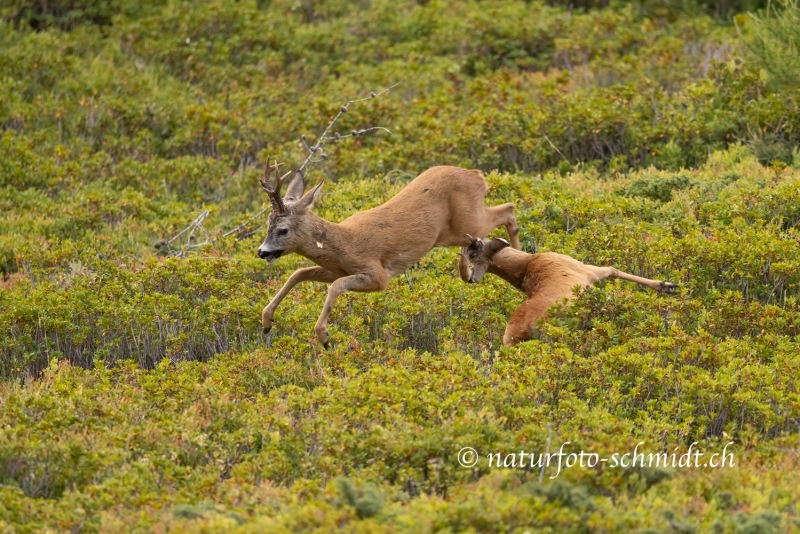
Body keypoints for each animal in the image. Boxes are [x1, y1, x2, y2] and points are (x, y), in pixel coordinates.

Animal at [253, 161, 520, 350]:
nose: (262, 252)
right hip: (453, 232)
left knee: (508, 210)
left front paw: (324, 337)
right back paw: (472, 273)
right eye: (267, 224)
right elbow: (299, 273)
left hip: (467, 220)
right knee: (480, 236)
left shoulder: (378, 275)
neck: (345, 242)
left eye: (283, 229)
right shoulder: (335, 269)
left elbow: (336, 286)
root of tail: (478, 175)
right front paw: (266, 322)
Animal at [460, 238, 680, 348]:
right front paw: (668, 286)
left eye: (472, 254)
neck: (525, 265)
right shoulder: (589, 272)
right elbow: (613, 271)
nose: (471, 278)